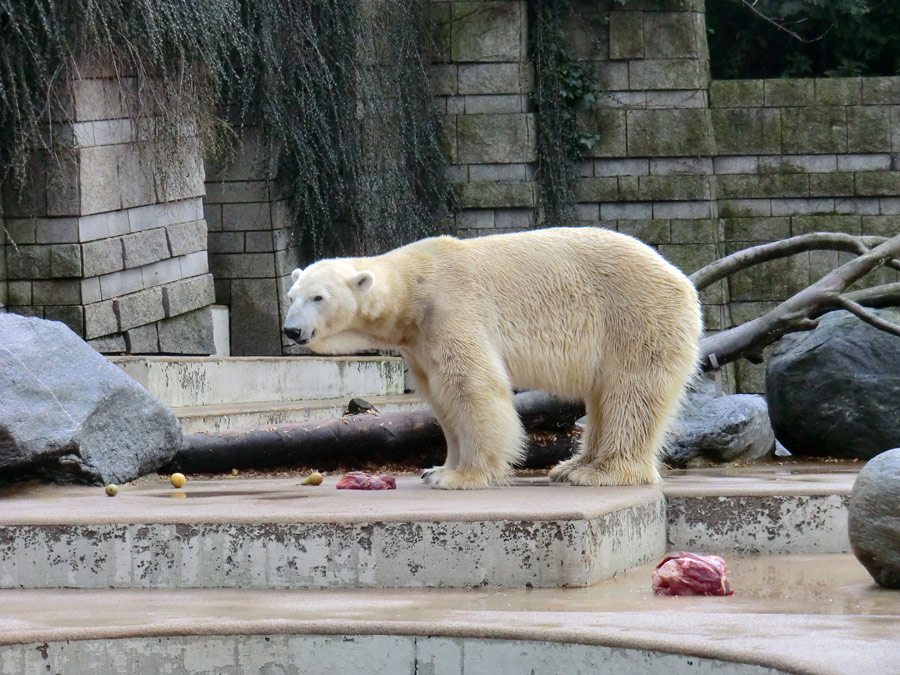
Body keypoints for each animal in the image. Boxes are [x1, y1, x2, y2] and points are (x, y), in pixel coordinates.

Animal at [284, 228, 700, 492]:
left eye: (318, 297)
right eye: (292, 295)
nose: (292, 330)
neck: (412, 288)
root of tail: (682, 280)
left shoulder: (451, 308)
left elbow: (471, 387)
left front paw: (460, 477)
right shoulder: (419, 340)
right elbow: (440, 397)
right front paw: (437, 469)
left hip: (635, 318)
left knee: (629, 393)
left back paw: (601, 472)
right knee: (604, 397)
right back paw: (572, 466)